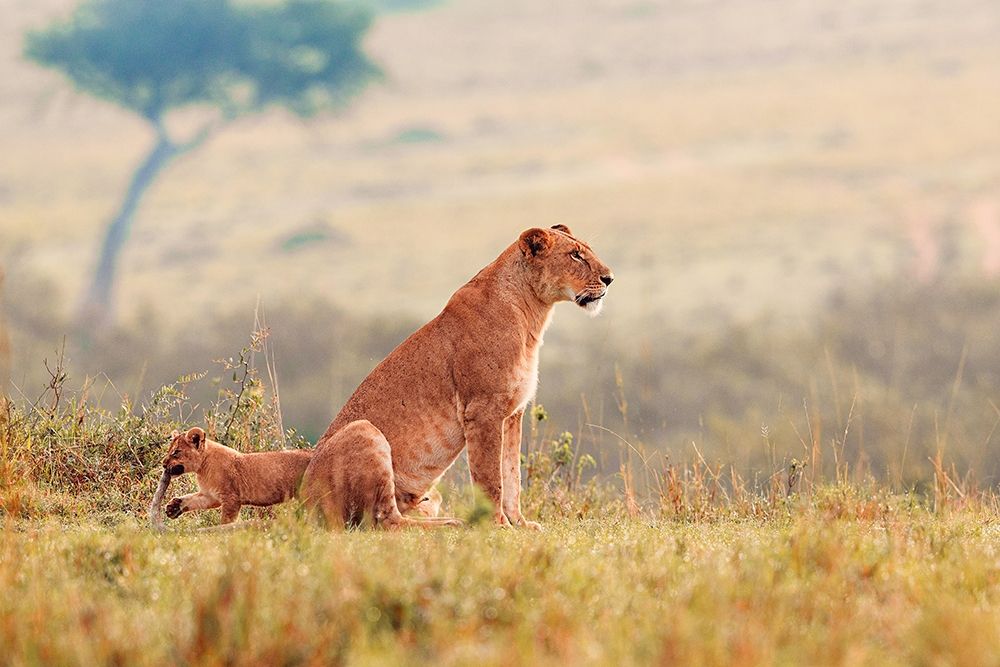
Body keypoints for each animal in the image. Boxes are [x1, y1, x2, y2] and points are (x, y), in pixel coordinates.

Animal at [302, 225, 613, 529]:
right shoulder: (483, 410)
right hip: (364, 430)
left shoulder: (513, 413)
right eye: (575, 255)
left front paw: (520, 524)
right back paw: (453, 523)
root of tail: (303, 502)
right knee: (386, 520)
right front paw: (498, 526)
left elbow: (512, 474)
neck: (532, 316)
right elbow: (491, 478)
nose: (609, 279)